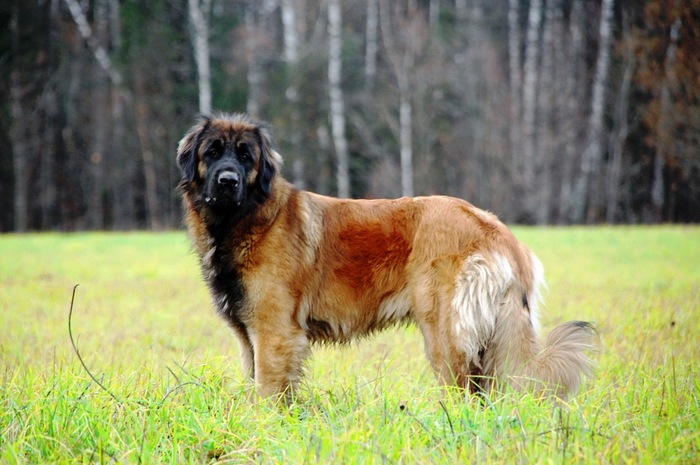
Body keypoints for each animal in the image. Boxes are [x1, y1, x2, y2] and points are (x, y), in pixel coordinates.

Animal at [177, 113, 596, 402]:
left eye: (245, 157)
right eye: (212, 153)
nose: (227, 181)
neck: (247, 220)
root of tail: (497, 230)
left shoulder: (275, 333)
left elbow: (266, 392)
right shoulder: (251, 338)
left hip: (446, 335)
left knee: (464, 395)